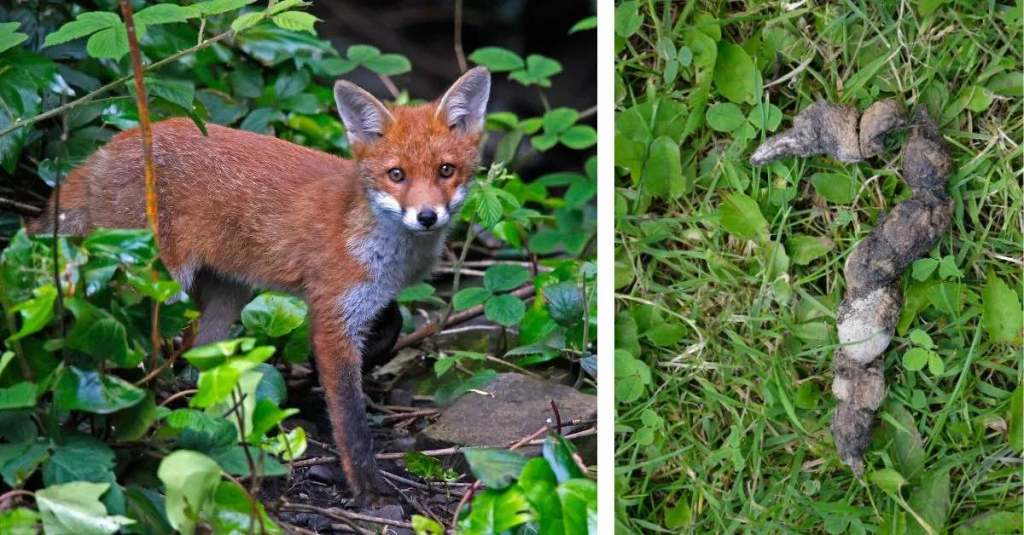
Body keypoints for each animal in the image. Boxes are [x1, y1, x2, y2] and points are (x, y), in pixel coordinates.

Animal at [29, 67, 493, 500]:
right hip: (154, 285)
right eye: (397, 175)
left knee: (197, 361)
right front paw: (367, 487)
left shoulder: (362, 305)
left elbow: (391, 327)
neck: (372, 237)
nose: (427, 216)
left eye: (446, 171)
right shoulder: (332, 317)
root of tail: (103, 151)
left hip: (225, 295)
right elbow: (351, 422)